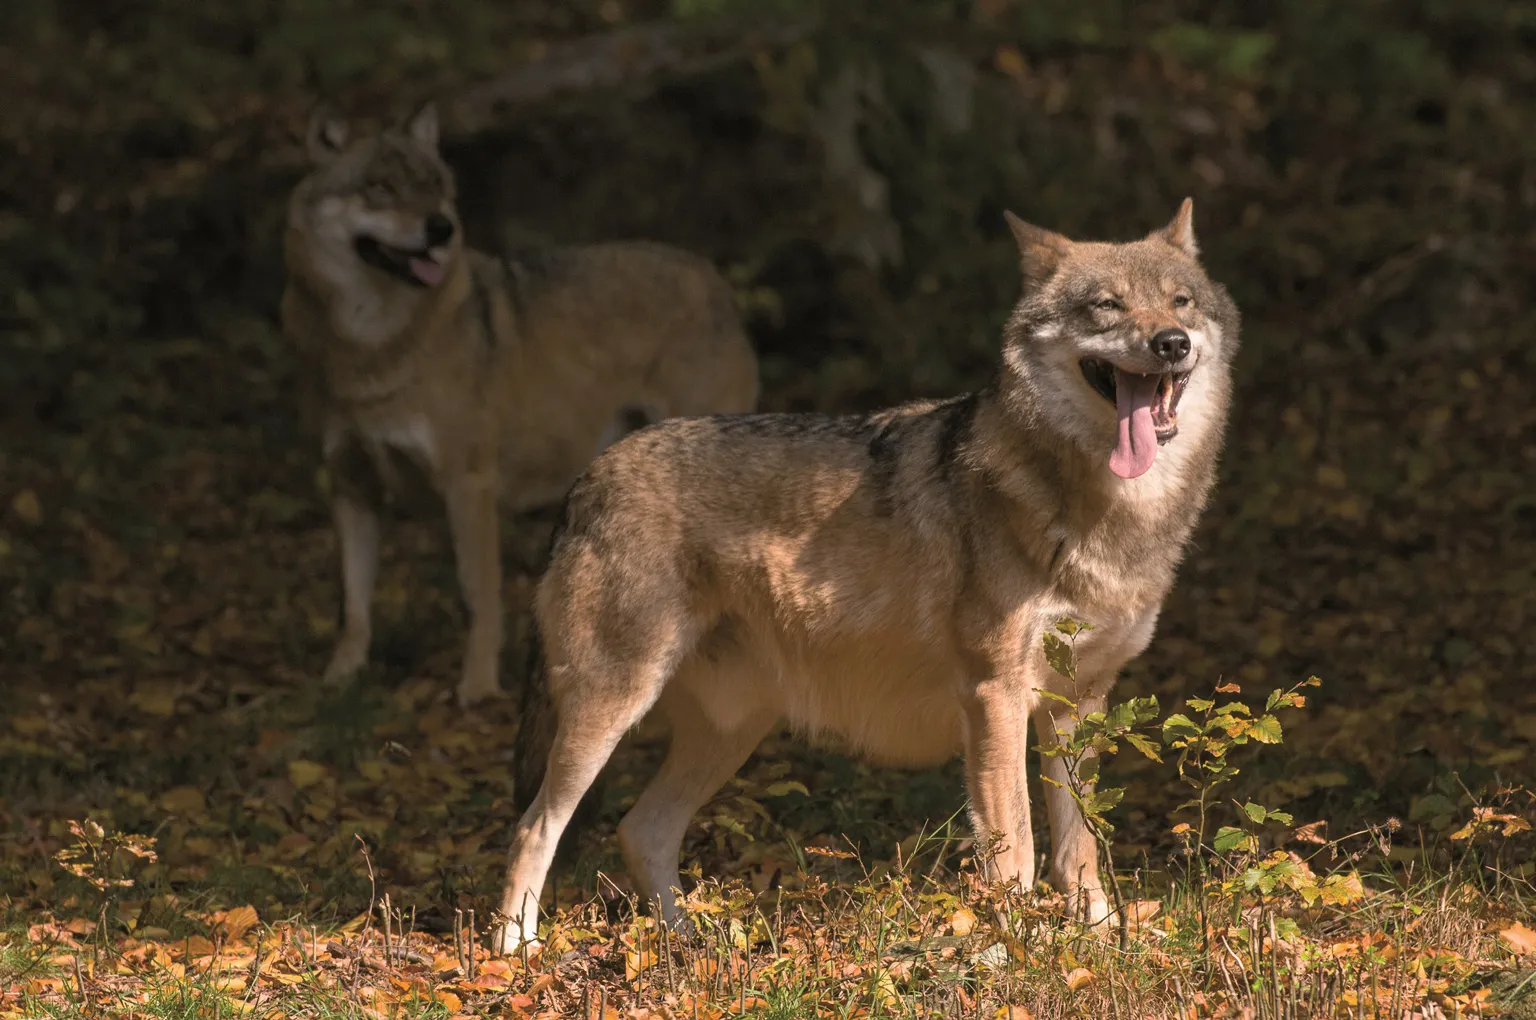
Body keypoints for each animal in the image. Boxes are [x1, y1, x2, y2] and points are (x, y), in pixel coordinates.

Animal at [282, 103, 761, 709]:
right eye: (379, 187)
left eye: (434, 185)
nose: (441, 228)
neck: (371, 346)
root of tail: (715, 278)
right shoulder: (352, 488)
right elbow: (354, 604)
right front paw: (341, 676)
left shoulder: (468, 486)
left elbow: (477, 597)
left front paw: (478, 687)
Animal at [497, 199, 1241, 946]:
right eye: (1107, 306)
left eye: (1180, 302)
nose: (1171, 342)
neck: (1107, 515)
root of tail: (587, 479)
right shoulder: (995, 696)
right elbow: (1018, 852)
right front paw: (1019, 950)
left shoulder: (1079, 704)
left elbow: (1078, 847)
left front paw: (1100, 943)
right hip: (613, 708)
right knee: (534, 827)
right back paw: (516, 950)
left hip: (732, 730)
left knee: (640, 829)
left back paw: (694, 942)